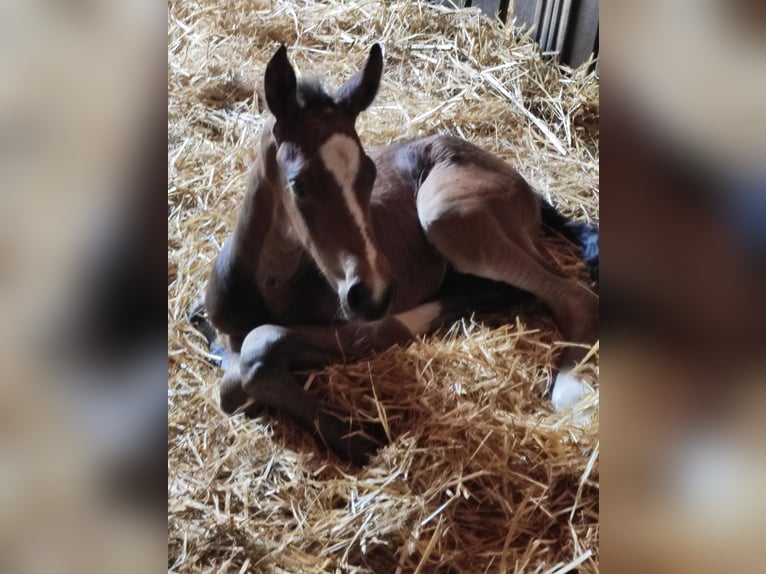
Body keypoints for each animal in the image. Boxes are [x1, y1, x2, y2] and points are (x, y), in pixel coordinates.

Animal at [202, 46, 600, 468]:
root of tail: (525, 187)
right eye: (299, 183)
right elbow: (230, 371)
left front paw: (360, 437)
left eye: (370, 174)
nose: (373, 294)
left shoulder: (362, 324)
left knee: (574, 294)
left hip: (445, 213)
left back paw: (574, 390)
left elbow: (255, 352)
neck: (270, 283)